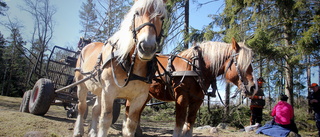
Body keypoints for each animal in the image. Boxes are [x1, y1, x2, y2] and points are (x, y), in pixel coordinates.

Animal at [73, 0, 168, 136]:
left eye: (161, 17)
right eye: (137, 13)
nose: (147, 47)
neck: (131, 67)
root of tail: (87, 45)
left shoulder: (139, 98)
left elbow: (131, 125)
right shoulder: (109, 92)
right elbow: (106, 120)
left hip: (99, 90)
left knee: (95, 109)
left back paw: (92, 132)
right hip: (81, 84)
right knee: (82, 107)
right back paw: (78, 130)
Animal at [126, 38, 256, 136]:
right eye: (241, 63)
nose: (253, 88)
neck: (195, 67)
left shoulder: (197, 100)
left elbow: (190, 123)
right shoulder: (181, 97)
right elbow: (180, 123)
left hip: (145, 96)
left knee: (136, 112)